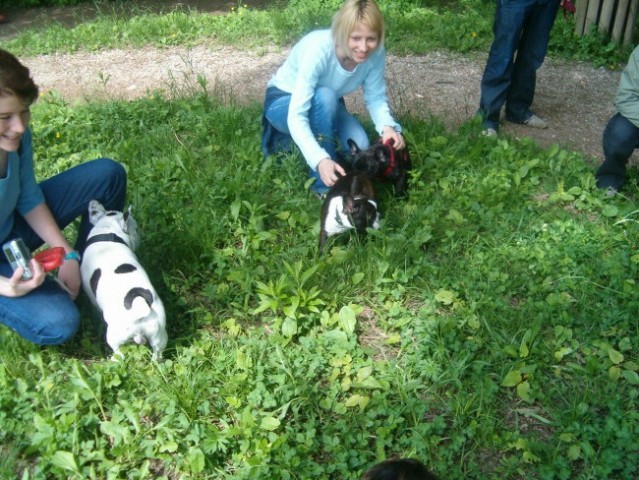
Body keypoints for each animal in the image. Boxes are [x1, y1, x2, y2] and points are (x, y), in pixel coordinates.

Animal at [80, 199, 168, 360]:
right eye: (137, 228)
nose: (140, 235)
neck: (108, 233)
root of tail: (138, 307)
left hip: (115, 336)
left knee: (118, 352)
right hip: (158, 335)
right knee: (157, 354)